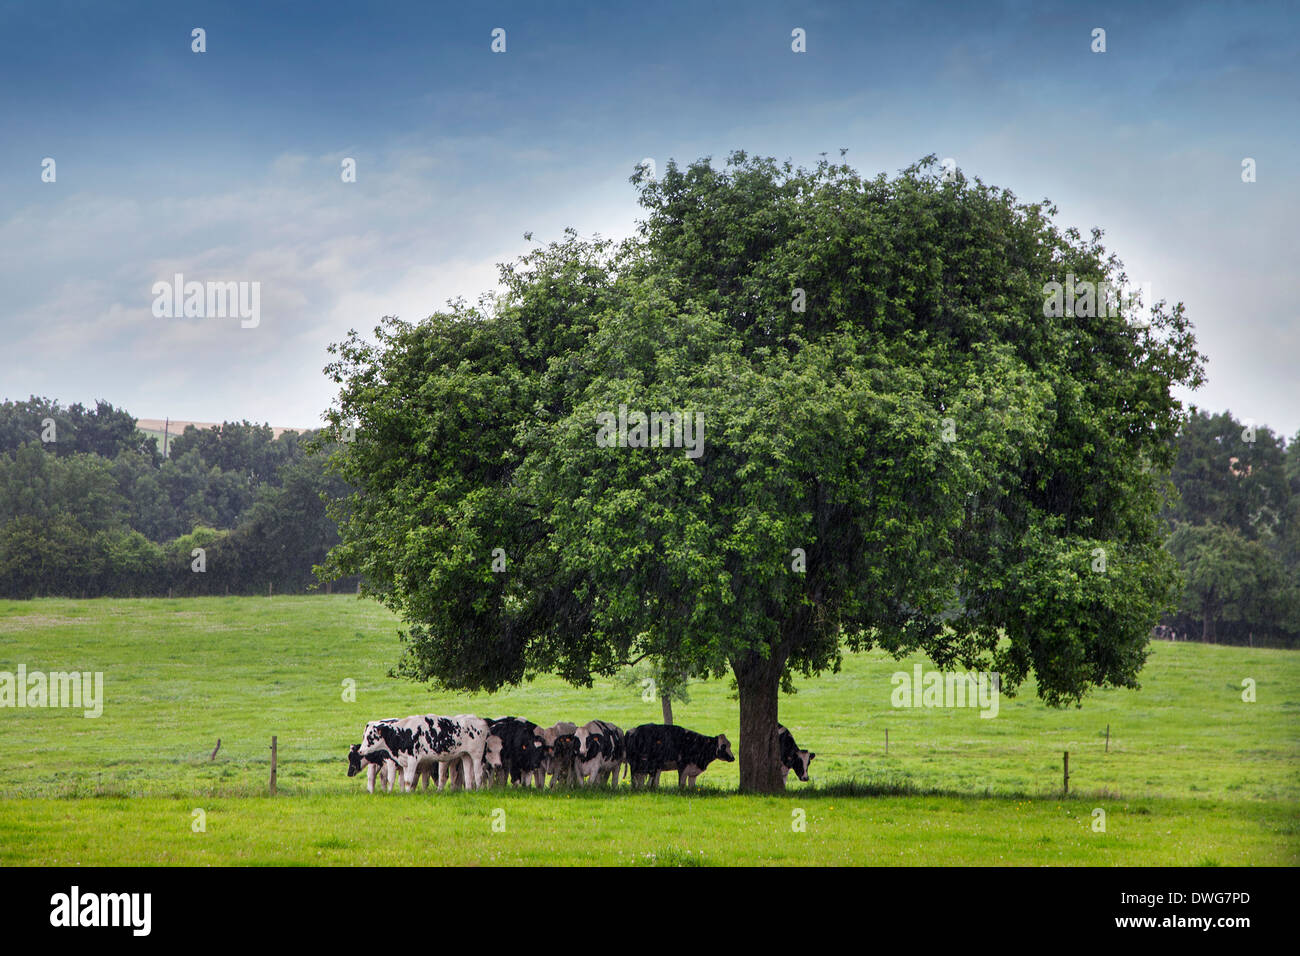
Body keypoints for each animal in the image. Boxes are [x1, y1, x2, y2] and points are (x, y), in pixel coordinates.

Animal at [345, 712, 488, 790]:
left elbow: (408, 780)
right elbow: (405, 780)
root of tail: (480, 720)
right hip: (465, 755)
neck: (403, 732)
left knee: (478, 774)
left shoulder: (413, 759)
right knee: (469, 776)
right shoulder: (404, 762)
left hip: (476, 755)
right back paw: (468, 790)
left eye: (370, 737)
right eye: (364, 736)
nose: (361, 751)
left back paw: (478, 790)